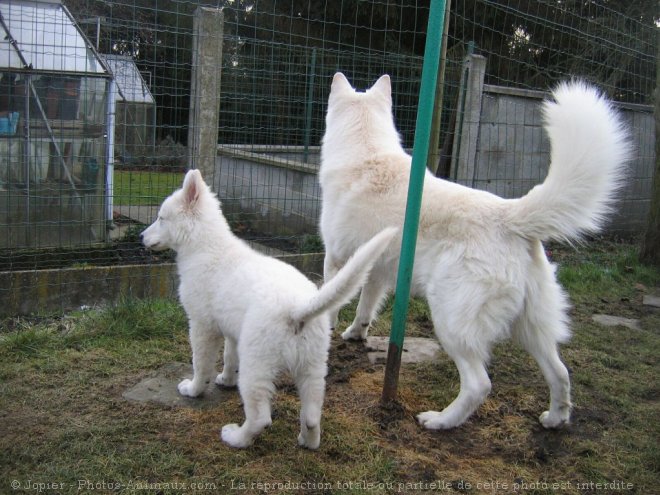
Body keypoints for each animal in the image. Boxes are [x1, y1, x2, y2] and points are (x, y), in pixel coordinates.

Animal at [142, 170, 394, 450]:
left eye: (161, 218)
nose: (141, 237)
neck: (204, 246)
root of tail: (299, 309)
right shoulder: (233, 332)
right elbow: (230, 357)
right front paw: (226, 380)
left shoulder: (201, 326)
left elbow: (201, 364)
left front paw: (193, 389)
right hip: (313, 365)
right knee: (312, 413)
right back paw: (308, 441)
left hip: (257, 365)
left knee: (261, 417)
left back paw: (236, 437)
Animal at [320, 72, 628, 430]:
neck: (366, 150)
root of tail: (510, 216)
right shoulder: (377, 270)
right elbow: (365, 309)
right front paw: (355, 334)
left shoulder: (336, 260)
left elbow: (332, 302)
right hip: (531, 329)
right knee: (561, 373)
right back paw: (554, 418)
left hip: (451, 324)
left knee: (479, 384)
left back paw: (440, 421)